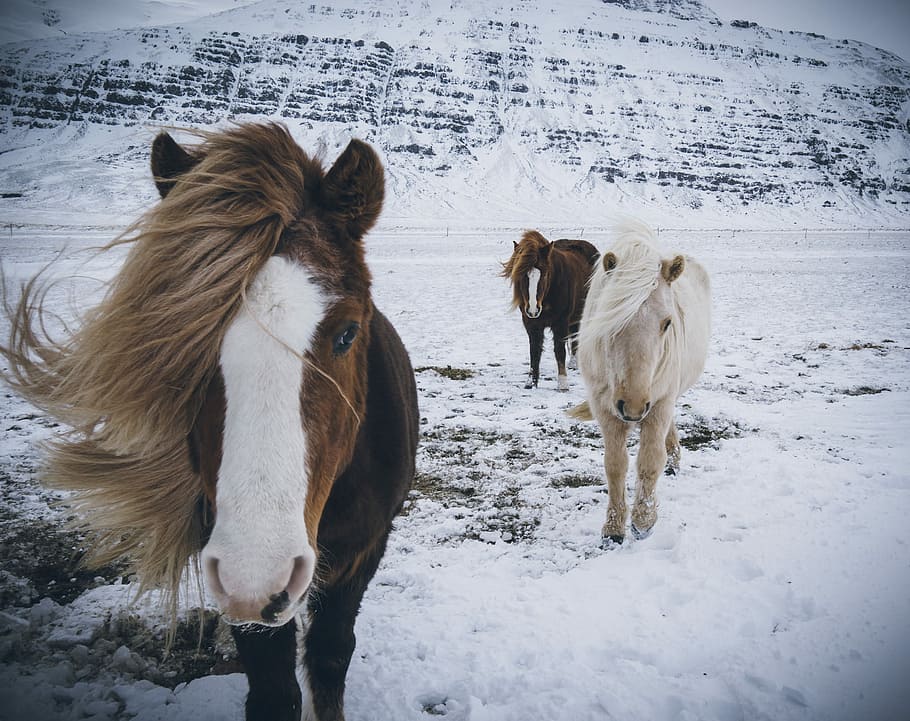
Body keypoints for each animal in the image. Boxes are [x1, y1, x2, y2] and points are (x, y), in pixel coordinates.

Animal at [0, 122, 419, 721]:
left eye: (347, 332)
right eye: (189, 339)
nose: (257, 573)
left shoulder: (365, 548)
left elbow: (330, 656)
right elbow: (273, 689)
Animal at [501, 230, 599, 391]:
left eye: (545, 274)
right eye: (521, 276)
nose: (533, 309)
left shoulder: (560, 323)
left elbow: (559, 351)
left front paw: (563, 384)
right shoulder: (531, 324)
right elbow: (534, 352)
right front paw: (531, 382)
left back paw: (574, 364)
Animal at [569, 219, 710, 546]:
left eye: (667, 322)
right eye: (611, 319)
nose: (632, 406)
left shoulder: (659, 403)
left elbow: (649, 461)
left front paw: (643, 522)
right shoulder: (605, 409)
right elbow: (615, 465)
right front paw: (613, 529)